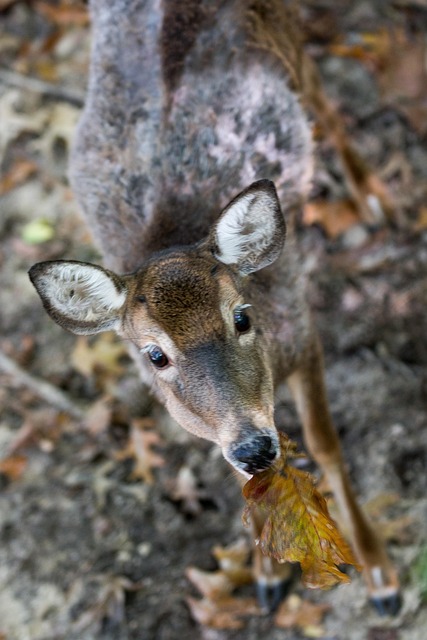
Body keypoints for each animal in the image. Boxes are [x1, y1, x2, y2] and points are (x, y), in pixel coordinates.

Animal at [29, 0, 401, 616]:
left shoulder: (302, 328)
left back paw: (374, 197)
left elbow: (327, 445)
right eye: (154, 355)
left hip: (288, 39)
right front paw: (267, 577)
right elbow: (240, 478)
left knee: (322, 98)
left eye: (243, 316)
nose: (254, 446)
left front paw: (380, 576)